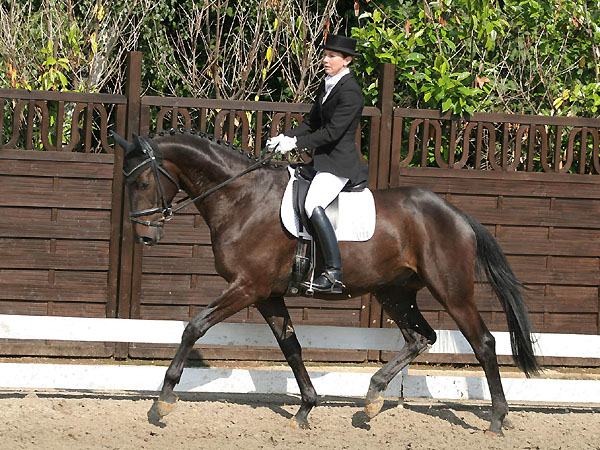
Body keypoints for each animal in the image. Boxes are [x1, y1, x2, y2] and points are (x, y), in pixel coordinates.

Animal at [112, 129, 540, 436]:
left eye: (143, 183)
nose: (145, 237)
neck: (241, 198)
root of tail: (457, 214)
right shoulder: (267, 295)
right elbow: (291, 348)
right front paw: (305, 408)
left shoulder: (247, 287)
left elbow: (194, 327)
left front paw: (164, 399)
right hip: (394, 292)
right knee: (421, 337)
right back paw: (371, 400)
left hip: (451, 290)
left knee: (483, 343)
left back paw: (497, 419)